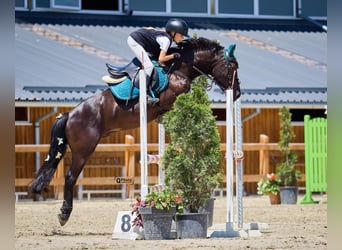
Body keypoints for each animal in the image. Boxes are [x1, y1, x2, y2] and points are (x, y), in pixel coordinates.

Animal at [28, 37, 240, 227]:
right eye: (232, 67)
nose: (237, 93)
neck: (178, 69)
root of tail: (70, 114)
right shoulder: (170, 98)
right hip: (83, 149)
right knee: (70, 177)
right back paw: (64, 214)